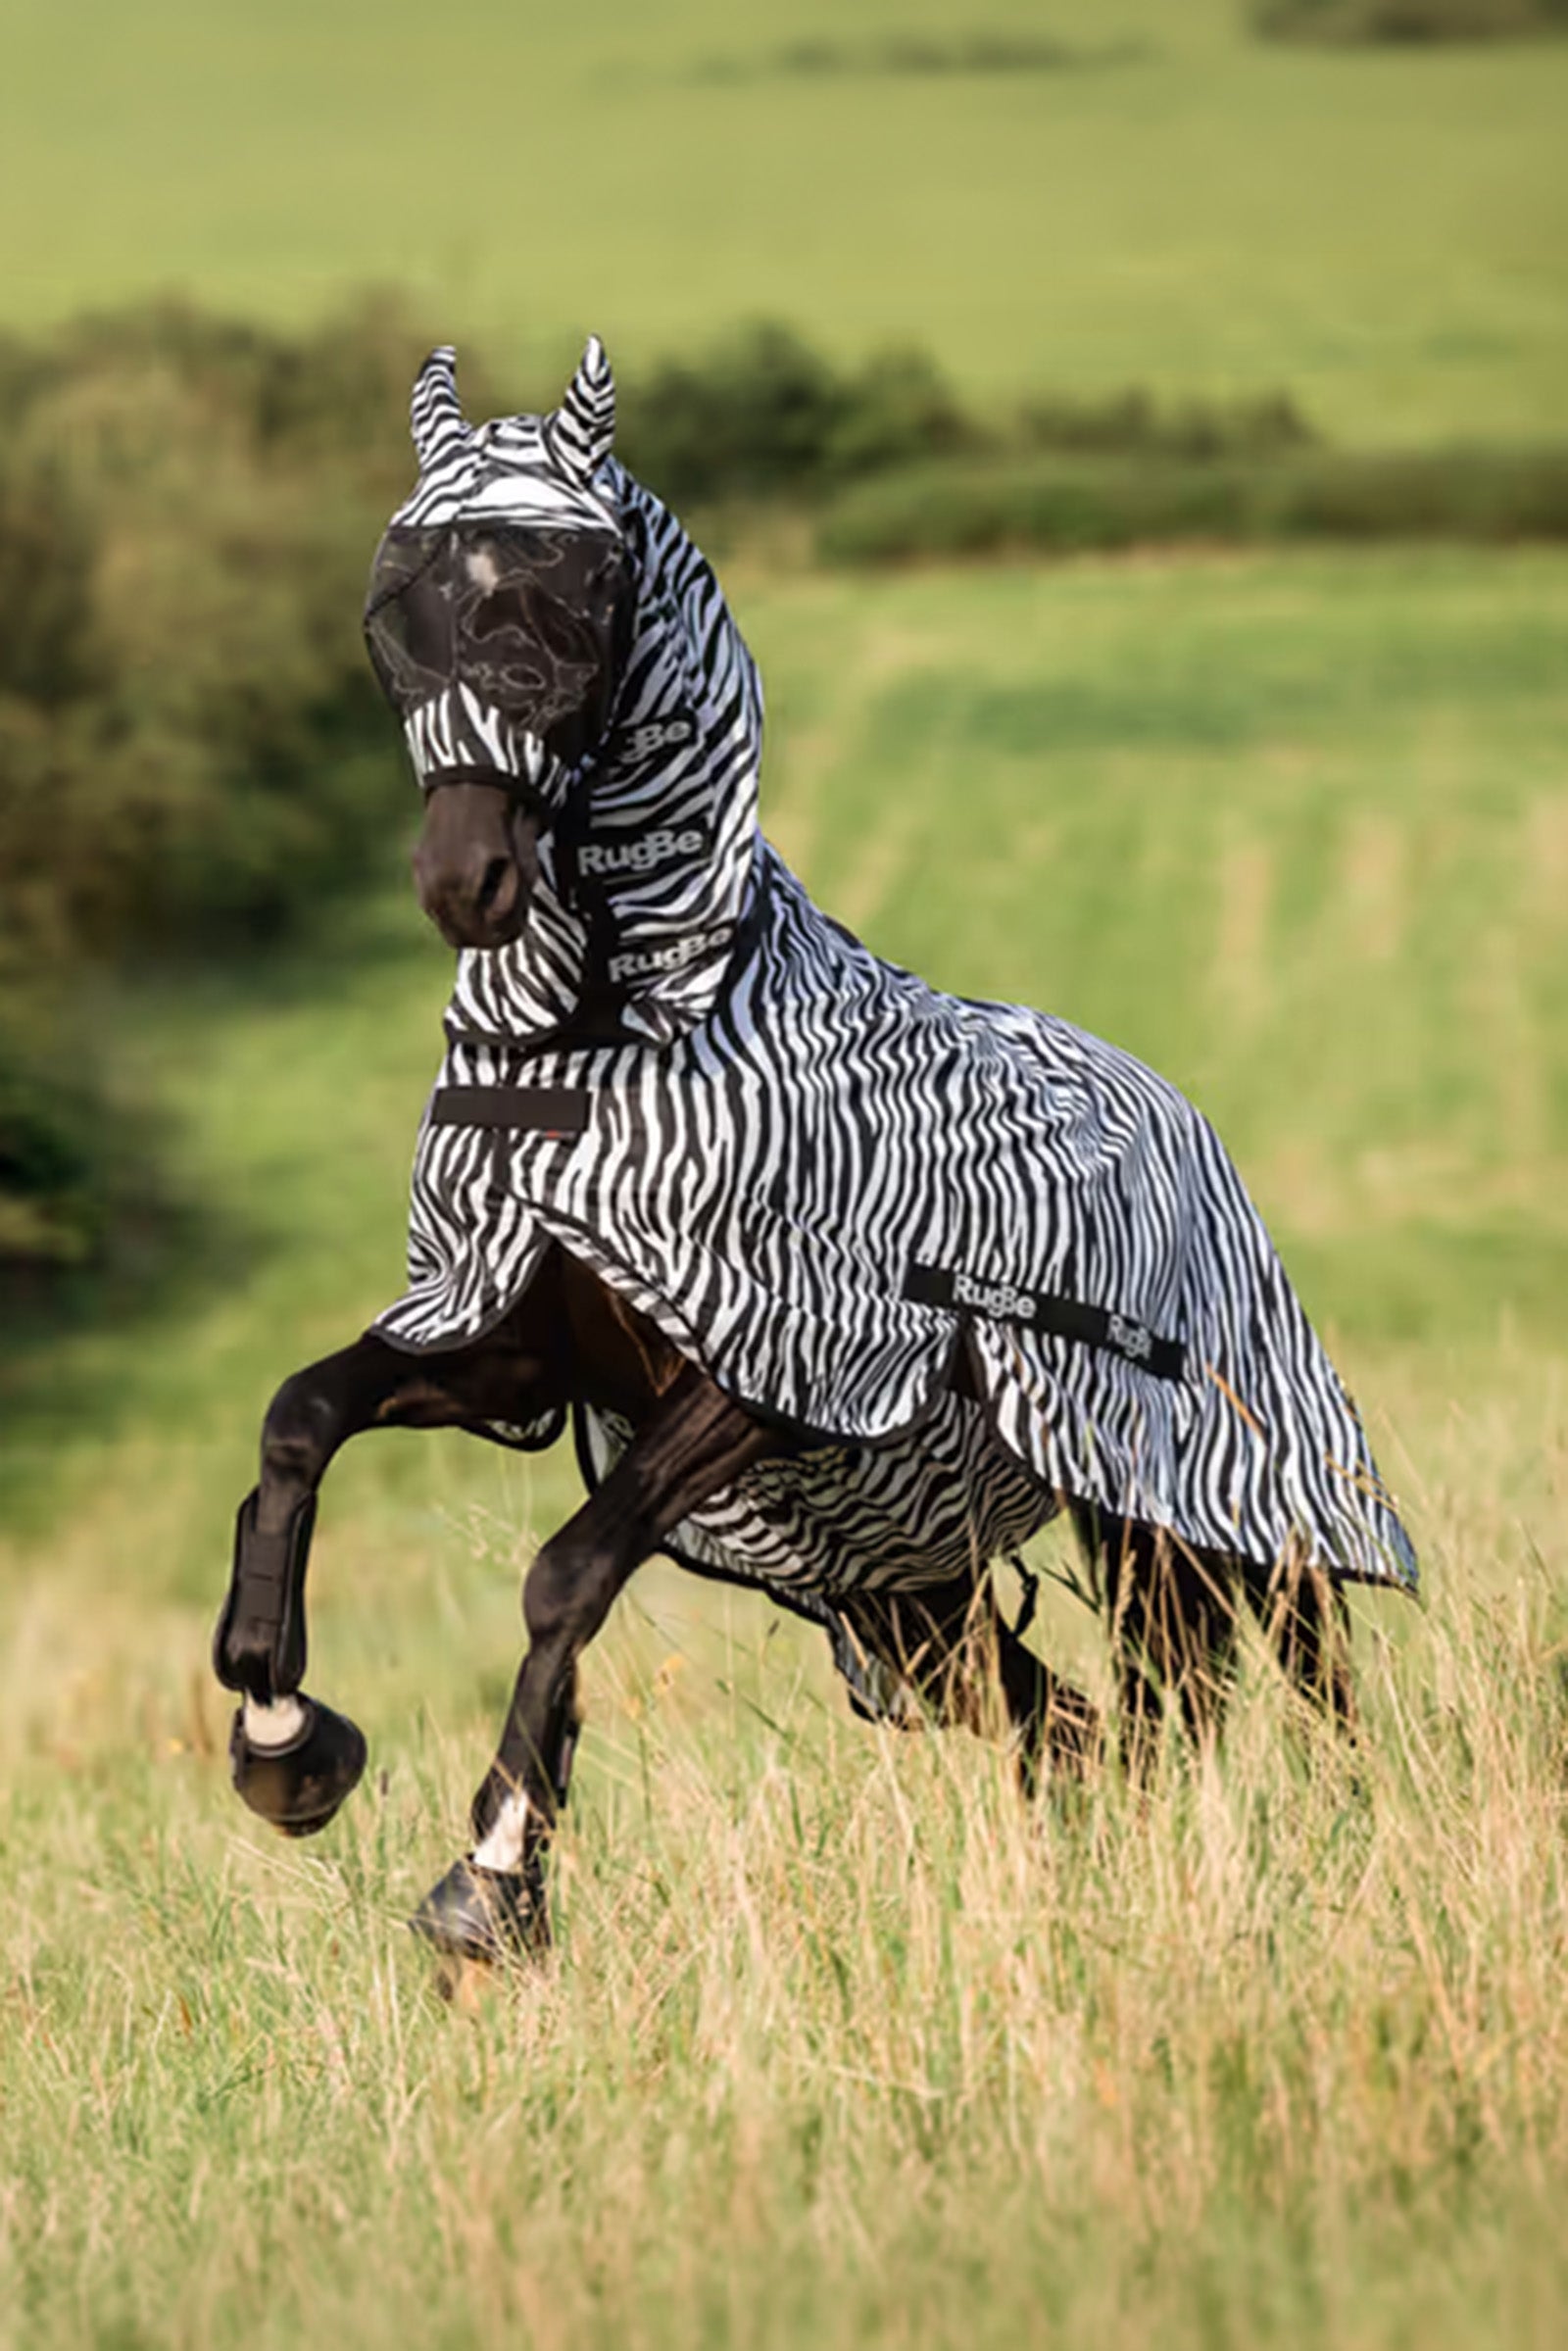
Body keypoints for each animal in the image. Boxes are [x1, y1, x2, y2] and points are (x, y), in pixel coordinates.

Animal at [211, 336, 1416, 1967]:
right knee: (1088, 1731)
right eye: (394, 607)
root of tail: (1177, 1112)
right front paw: (281, 1735)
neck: (614, 1038)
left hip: (1216, 1507)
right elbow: (302, 1417)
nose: (468, 880)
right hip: (917, 1600)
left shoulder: (771, 1370)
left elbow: (566, 1569)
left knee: (1306, 1678)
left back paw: (1363, 1849)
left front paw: (495, 1872)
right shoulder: (517, 1343)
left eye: (574, 604)